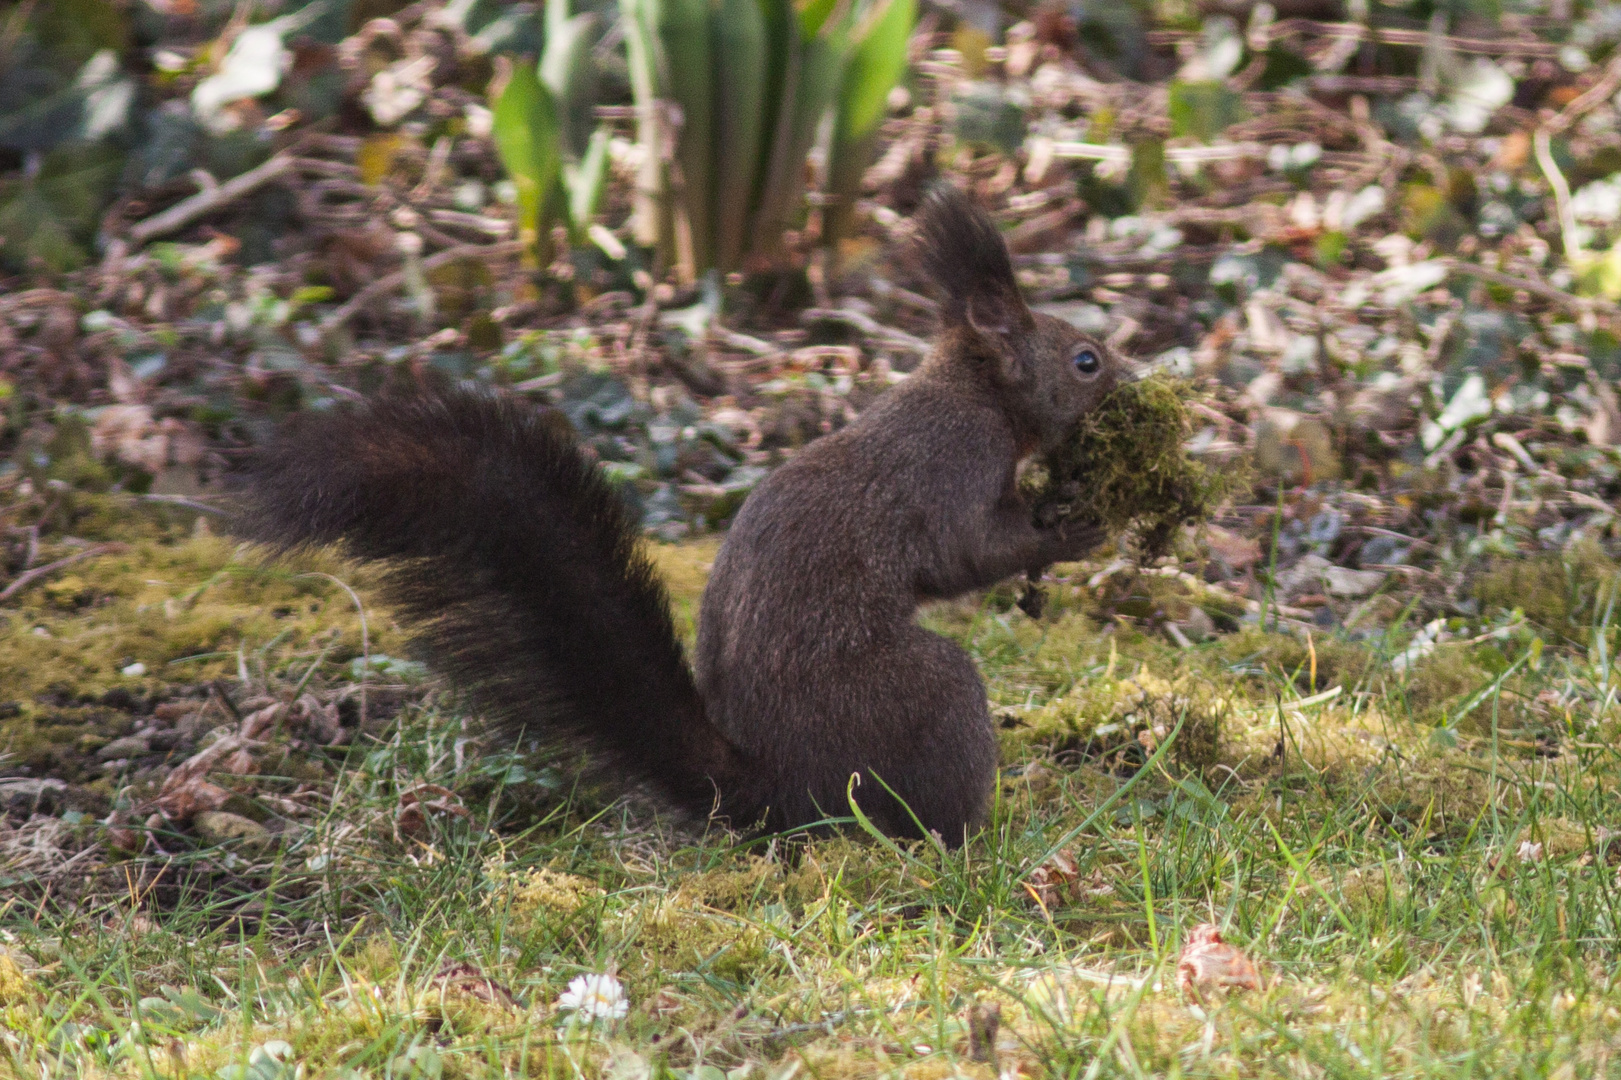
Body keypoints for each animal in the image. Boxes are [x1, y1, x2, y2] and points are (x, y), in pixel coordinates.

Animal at [235, 184, 1128, 843]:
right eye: (1085, 360)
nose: (1133, 381)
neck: (971, 390)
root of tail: (774, 791)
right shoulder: (947, 468)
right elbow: (966, 553)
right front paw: (1073, 529)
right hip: (924, 698)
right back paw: (975, 833)